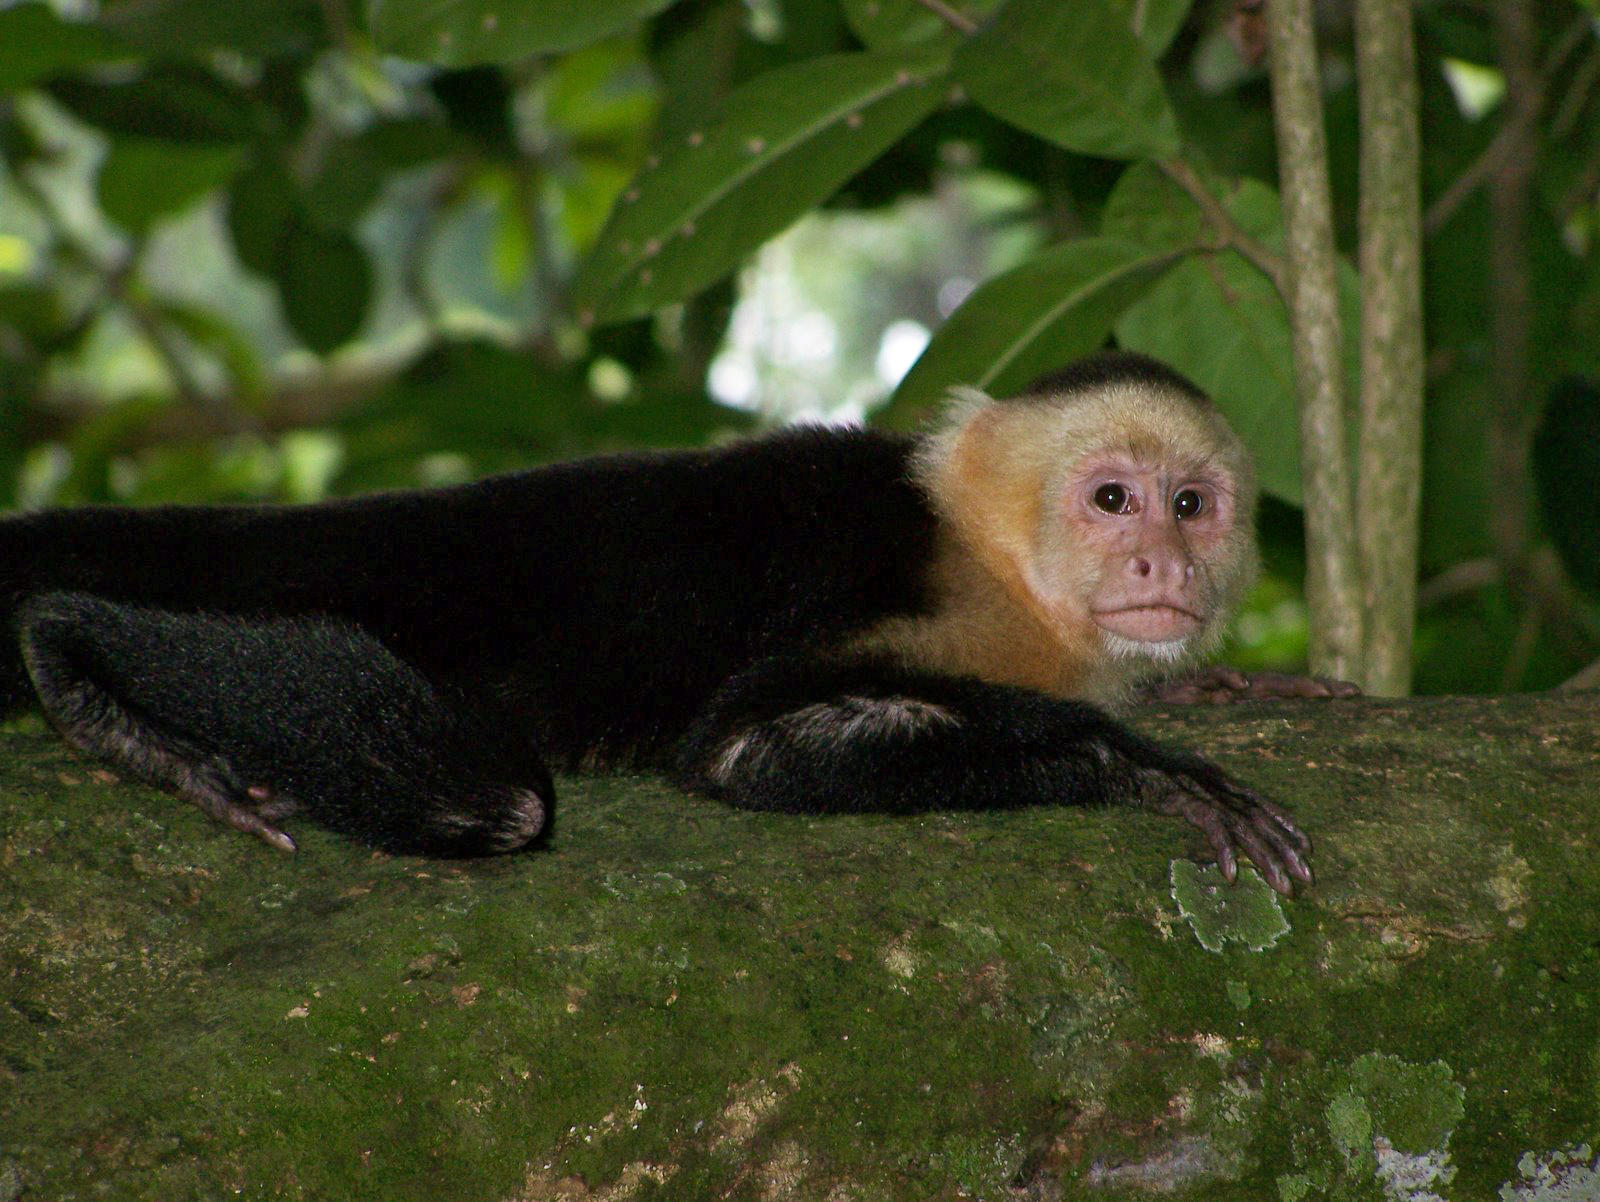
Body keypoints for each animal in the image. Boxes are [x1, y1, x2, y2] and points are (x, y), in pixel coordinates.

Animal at [3, 347, 1350, 896]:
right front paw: (1144, 766)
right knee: (504, 800)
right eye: (1111, 498)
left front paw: (1218, 686)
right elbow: (747, 748)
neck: (997, 568)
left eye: (1191, 504)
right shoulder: (916, 586)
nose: (1159, 558)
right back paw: (80, 663)